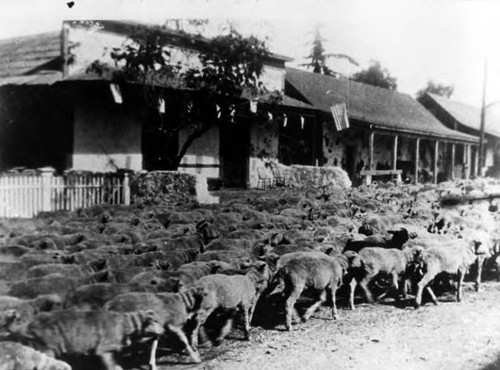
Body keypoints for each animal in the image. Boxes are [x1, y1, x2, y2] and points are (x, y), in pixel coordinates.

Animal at [4, 308, 164, 368]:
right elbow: (115, 366)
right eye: (155, 321)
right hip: (47, 348)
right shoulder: (105, 350)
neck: (125, 324)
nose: (163, 331)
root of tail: (25, 325)